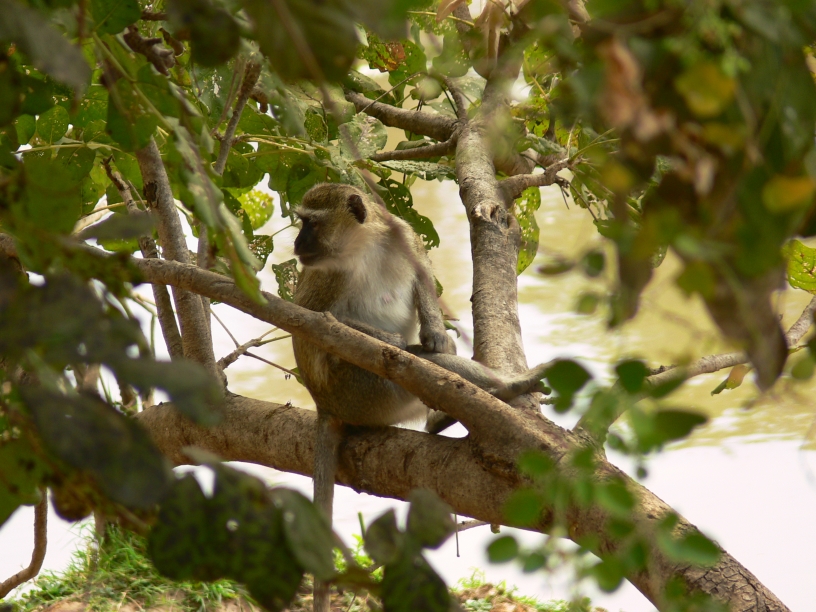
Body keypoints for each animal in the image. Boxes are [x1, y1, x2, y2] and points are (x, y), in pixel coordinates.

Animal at [291, 183, 549, 612]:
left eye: (310, 223)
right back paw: (507, 389)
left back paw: (448, 413)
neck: (363, 244)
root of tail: (324, 402)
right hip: (362, 392)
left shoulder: (403, 234)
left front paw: (436, 328)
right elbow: (311, 320)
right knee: (418, 364)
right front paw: (391, 339)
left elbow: (423, 276)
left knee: (438, 358)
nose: (297, 243)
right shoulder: (324, 279)